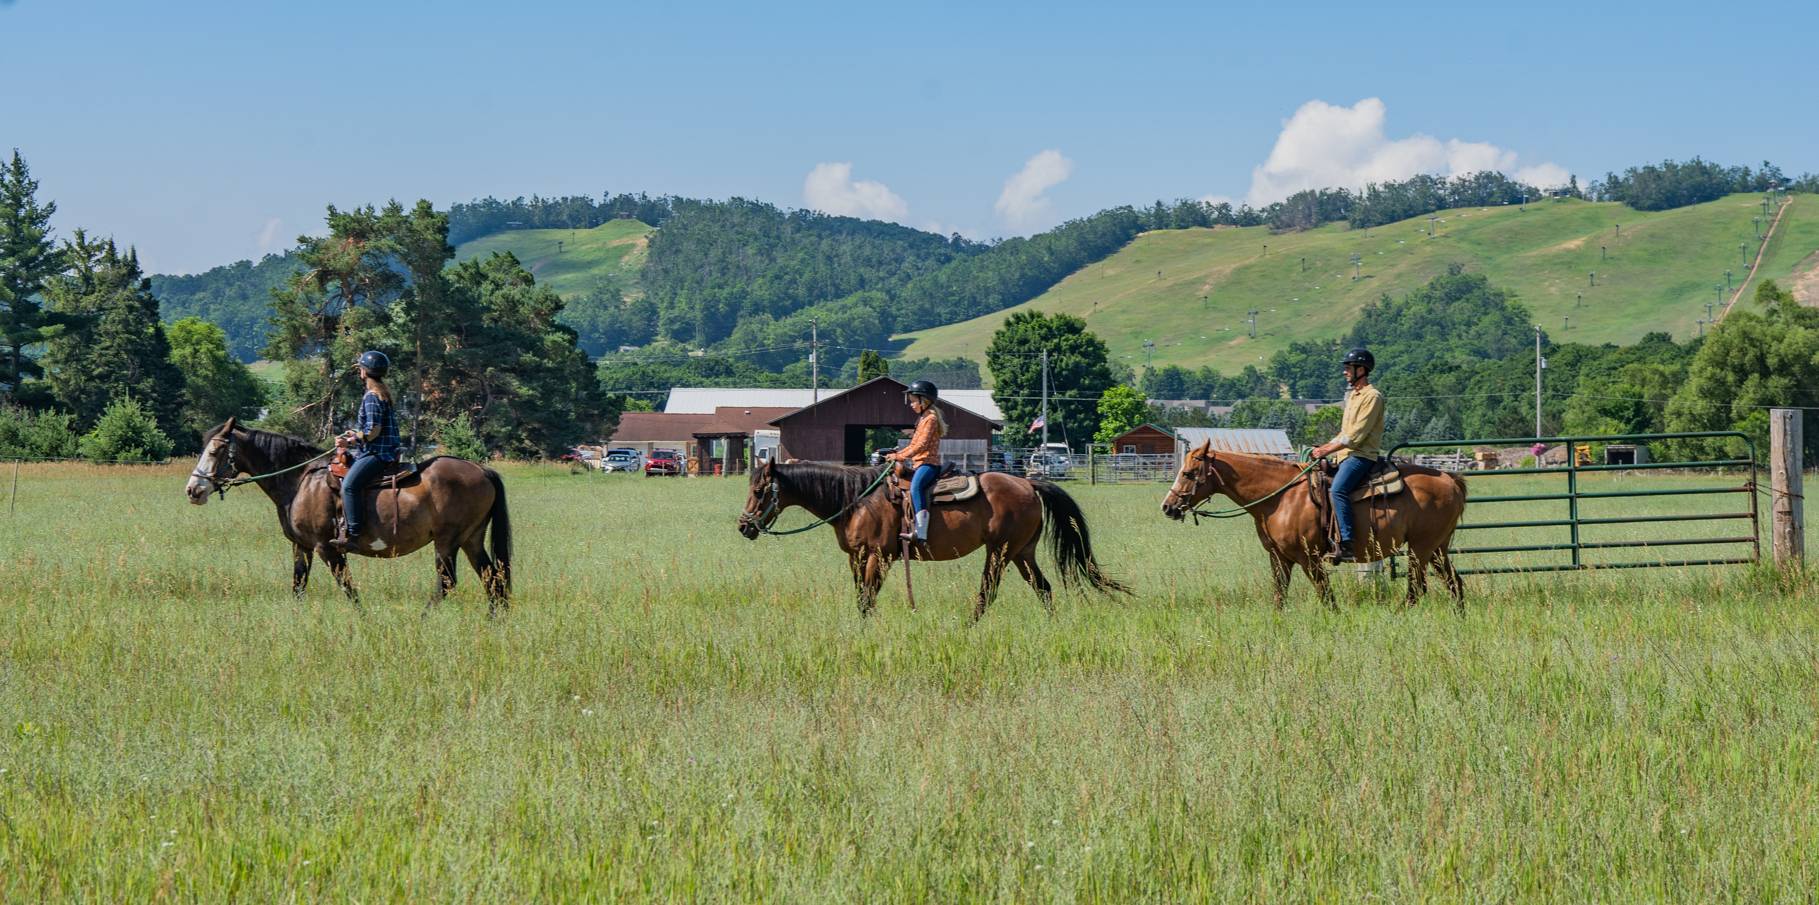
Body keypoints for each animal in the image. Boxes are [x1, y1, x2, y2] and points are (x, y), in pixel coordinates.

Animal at [185, 417, 513, 614]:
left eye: (214, 452)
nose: (193, 490)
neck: (300, 480)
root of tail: (481, 470)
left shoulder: (327, 548)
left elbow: (348, 588)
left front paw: (363, 618)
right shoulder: (301, 546)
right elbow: (298, 585)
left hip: (447, 541)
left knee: (449, 582)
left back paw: (424, 618)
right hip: (471, 539)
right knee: (492, 579)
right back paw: (494, 621)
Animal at [737, 460, 1129, 620]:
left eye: (759, 491)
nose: (744, 527)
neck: (856, 500)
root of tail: (1029, 483)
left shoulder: (879, 556)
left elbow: (868, 598)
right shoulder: (856, 557)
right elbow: (861, 598)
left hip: (1000, 552)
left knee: (987, 592)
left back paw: (969, 626)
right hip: (1022, 552)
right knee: (1043, 588)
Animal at [1159, 441, 1469, 611]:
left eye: (1189, 473)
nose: (1168, 506)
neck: (1281, 497)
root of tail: (1449, 479)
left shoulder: (1309, 558)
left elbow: (1326, 596)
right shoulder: (1279, 558)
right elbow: (1279, 596)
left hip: (1421, 548)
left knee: (1417, 588)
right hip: (1438, 548)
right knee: (1454, 582)